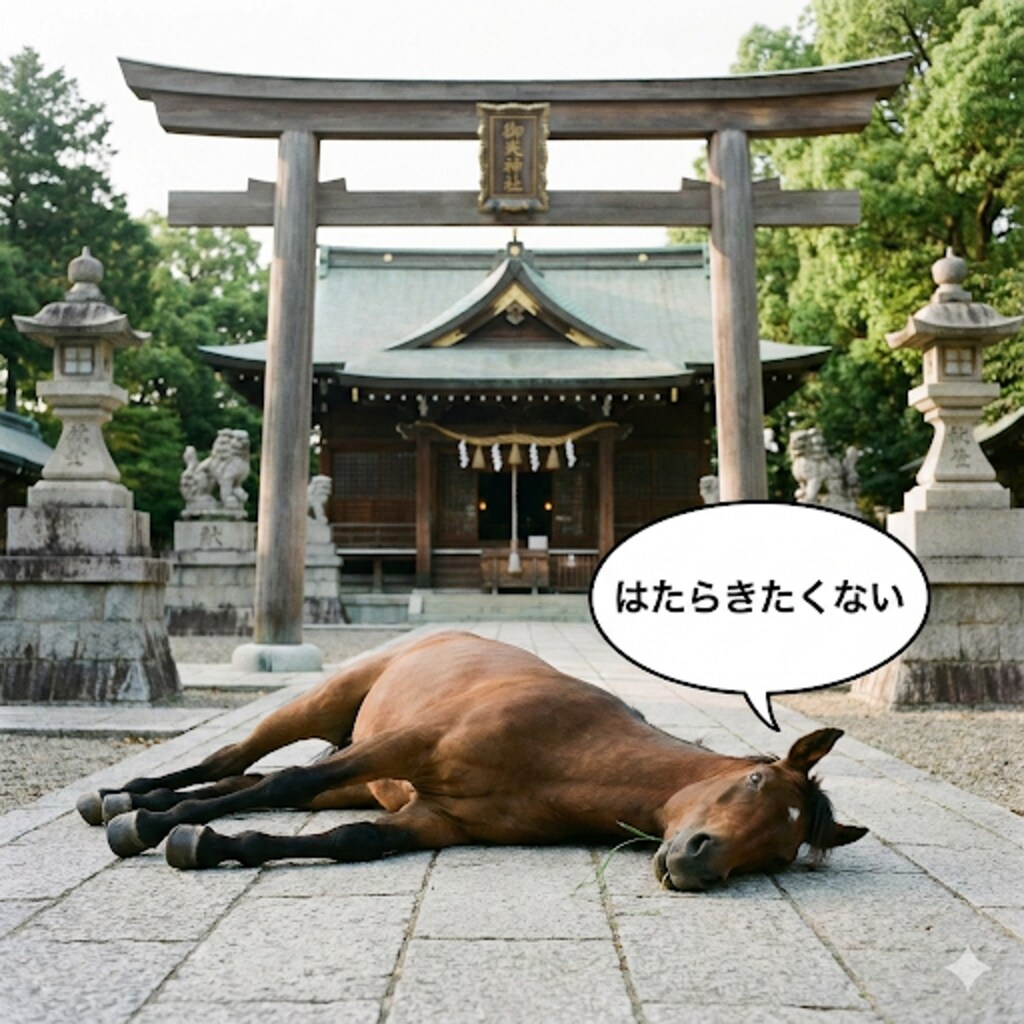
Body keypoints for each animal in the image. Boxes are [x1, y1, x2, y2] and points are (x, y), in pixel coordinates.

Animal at [76, 631, 867, 891]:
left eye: (778, 852)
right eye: (755, 780)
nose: (698, 861)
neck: (567, 754)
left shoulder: (437, 821)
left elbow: (349, 843)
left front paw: (201, 840)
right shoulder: (410, 745)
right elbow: (291, 775)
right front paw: (157, 827)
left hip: (365, 782)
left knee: (264, 782)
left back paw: (132, 803)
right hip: (335, 709)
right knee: (249, 758)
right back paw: (127, 800)